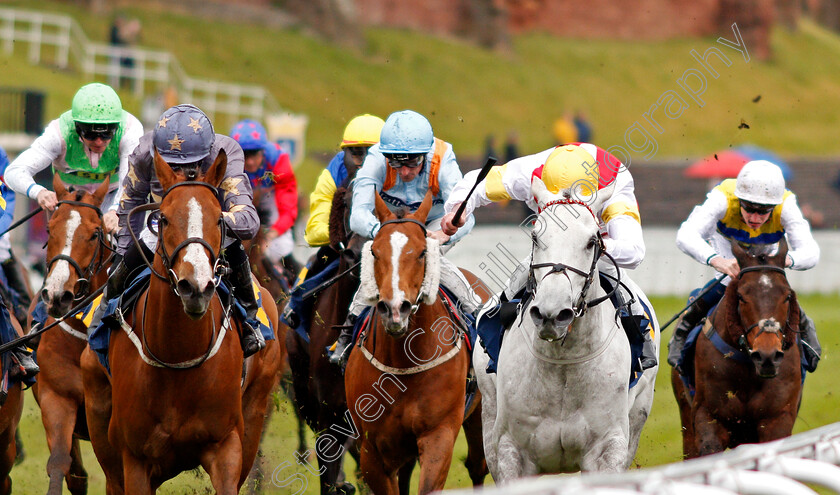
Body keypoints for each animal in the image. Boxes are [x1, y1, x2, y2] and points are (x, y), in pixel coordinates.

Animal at [81, 149, 282, 494]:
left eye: (219, 219)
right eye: (163, 218)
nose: (196, 287)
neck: (178, 356)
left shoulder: (227, 445)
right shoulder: (135, 459)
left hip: (256, 409)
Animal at [344, 190, 488, 495]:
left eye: (422, 252)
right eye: (374, 252)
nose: (395, 309)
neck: (404, 363)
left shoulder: (438, 435)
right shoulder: (372, 449)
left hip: (480, 413)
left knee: (478, 465)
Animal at [672, 238, 804, 460]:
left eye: (787, 296)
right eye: (741, 296)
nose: (767, 356)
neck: (749, 370)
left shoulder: (777, 419)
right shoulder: (709, 414)